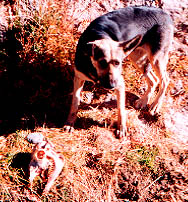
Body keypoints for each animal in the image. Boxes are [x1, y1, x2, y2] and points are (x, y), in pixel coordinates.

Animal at [64, 5, 174, 137]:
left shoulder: (120, 83)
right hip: (137, 58)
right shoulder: (78, 77)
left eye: (118, 63)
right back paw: (143, 101)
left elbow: (121, 109)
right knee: (154, 79)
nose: (111, 86)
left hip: (156, 58)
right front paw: (70, 123)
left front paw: (122, 128)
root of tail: (165, 13)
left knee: (165, 79)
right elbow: (74, 102)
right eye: (102, 62)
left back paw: (155, 105)